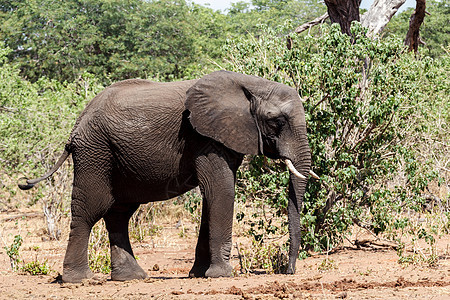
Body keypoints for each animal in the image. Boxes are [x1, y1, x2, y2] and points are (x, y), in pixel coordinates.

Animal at [17, 71, 312, 284]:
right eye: (276, 122)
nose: (288, 271)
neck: (251, 84)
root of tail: (76, 125)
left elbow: (211, 196)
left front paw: (199, 274)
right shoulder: (203, 137)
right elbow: (222, 191)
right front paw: (221, 275)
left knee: (119, 213)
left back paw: (131, 278)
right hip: (95, 152)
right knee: (90, 210)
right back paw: (78, 280)